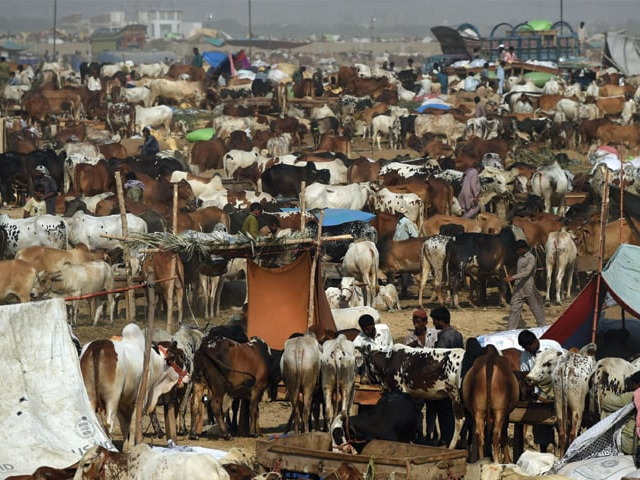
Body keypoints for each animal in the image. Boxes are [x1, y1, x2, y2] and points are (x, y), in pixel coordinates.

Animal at [78, 322, 189, 450]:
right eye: (181, 357)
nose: (188, 376)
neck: (154, 361)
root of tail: (97, 347)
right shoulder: (139, 400)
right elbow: (133, 425)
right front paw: (132, 447)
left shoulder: (122, 404)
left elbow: (125, 426)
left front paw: (126, 447)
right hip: (112, 398)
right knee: (108, 424)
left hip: (90, 396)